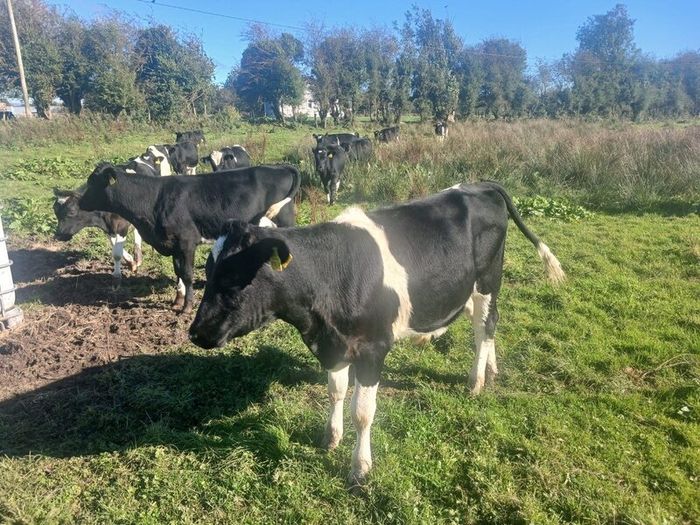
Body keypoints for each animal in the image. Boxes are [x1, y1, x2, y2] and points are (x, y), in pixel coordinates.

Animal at [78, 163, 301, 313]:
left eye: (93, 183)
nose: (80, 202)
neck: (153, 199)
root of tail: (279, 167)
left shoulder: (187, 242)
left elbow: (186, 273)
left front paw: (187, 306)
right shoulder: (173, 244)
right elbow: (178, 271)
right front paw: (178, 299)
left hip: (283, 221)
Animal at [189, 181, 565, 486]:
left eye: (233, 274)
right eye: (208, 268)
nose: (195, 332)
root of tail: (480, 186)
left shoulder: (373, 349)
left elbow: (362, 412)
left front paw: (360, 468)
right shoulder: (334, 346)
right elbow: (336, 392)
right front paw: (331, 438)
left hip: (488, 281)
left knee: (484, 325)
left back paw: (476, 381)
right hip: (468, 287)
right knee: (485, 323)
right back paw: (492, 368)